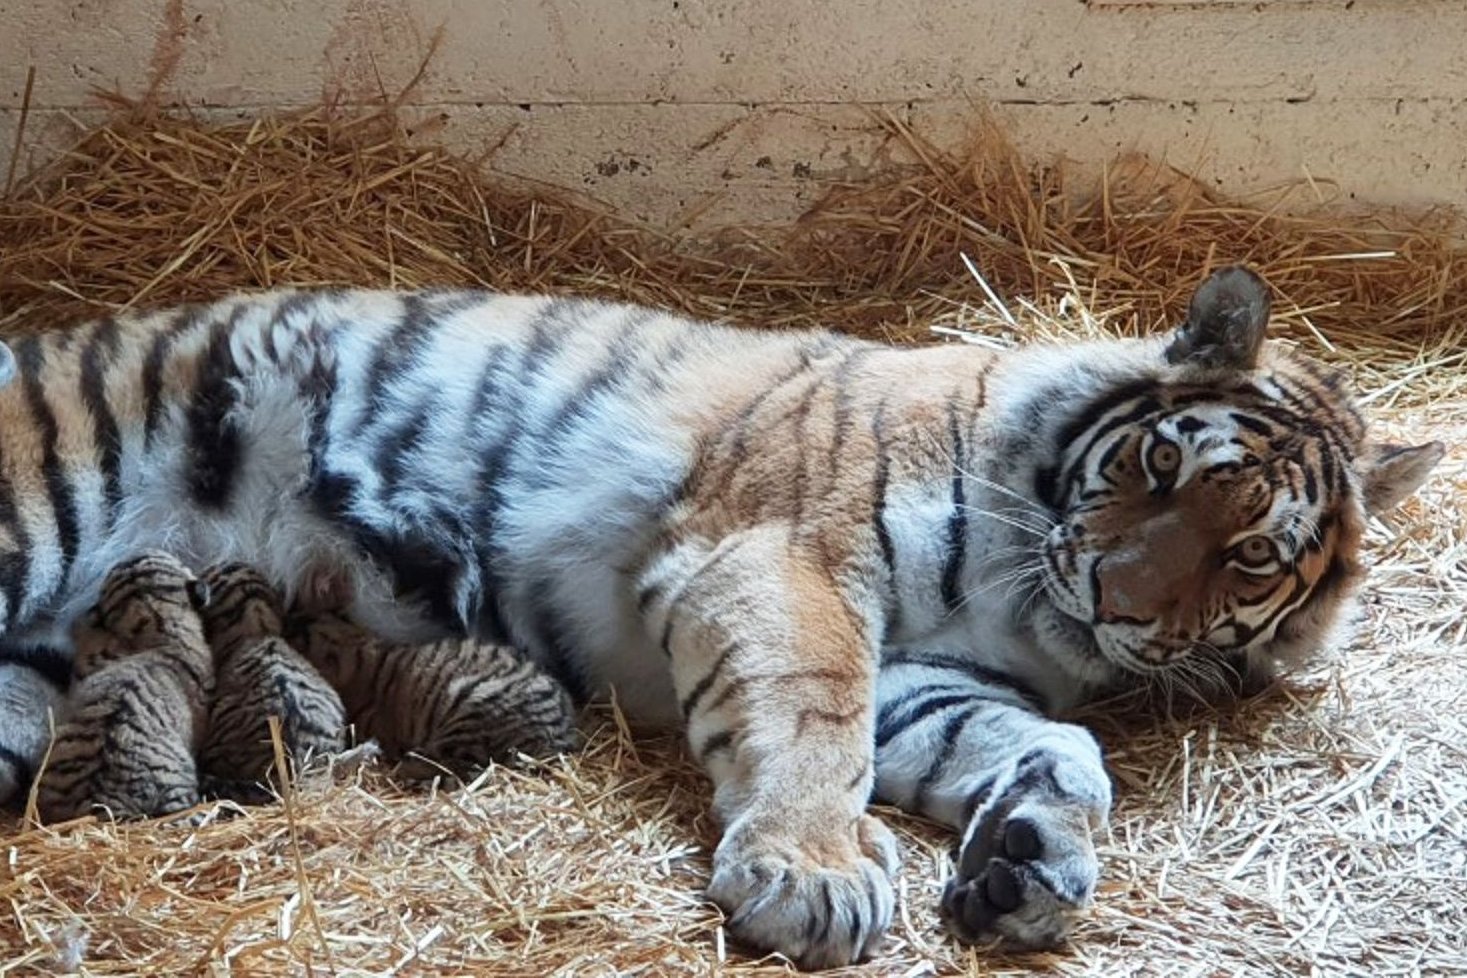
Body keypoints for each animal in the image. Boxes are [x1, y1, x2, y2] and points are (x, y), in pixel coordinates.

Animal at [0, 269, 1443, 973]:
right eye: (1158, 469)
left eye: (1245, 552)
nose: (1123, 606)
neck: (1029, 594)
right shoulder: (781, 555)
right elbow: (811, 716)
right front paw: (812, 876)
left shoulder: (931, 670)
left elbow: (1048, 749)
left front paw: (1030, 855)